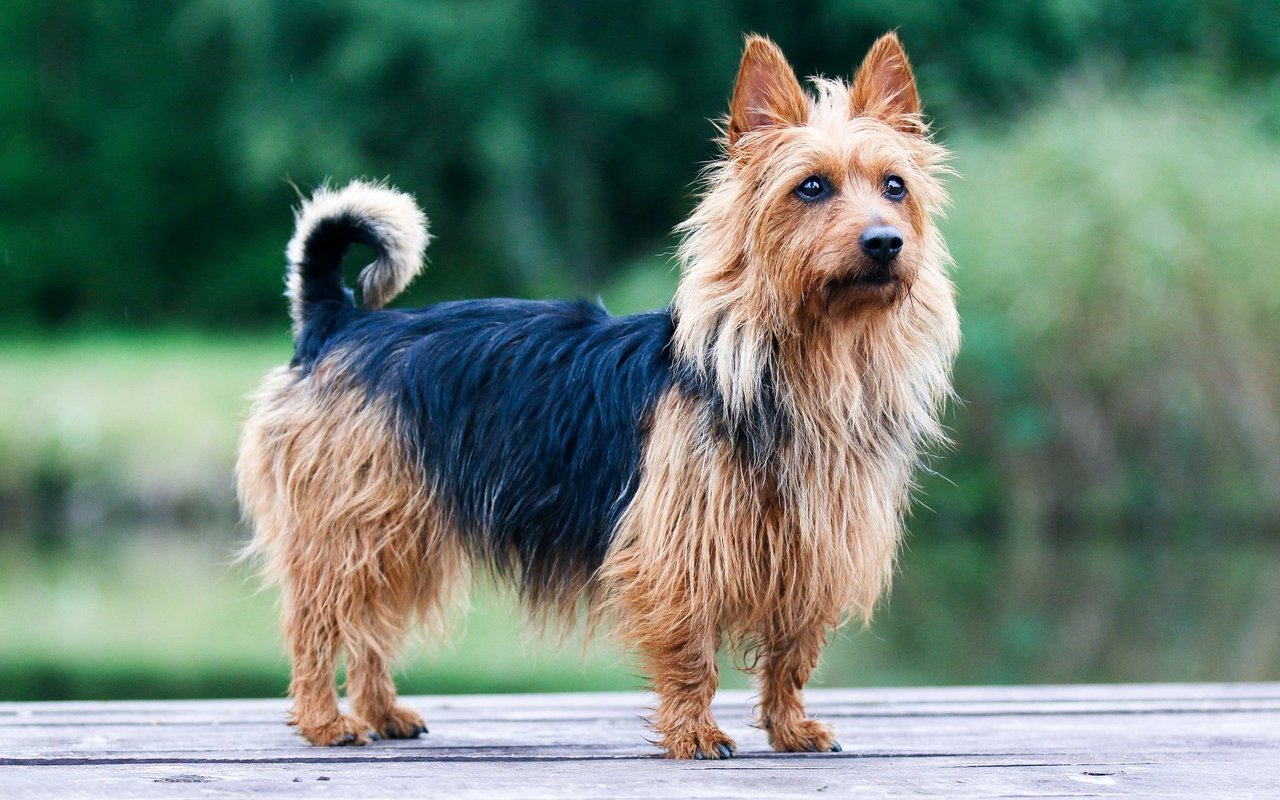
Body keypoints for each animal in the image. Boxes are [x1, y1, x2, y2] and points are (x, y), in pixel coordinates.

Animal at [240, 31, 962, 752]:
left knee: (370, 627)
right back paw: (325, 720)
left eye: (895, 187)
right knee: (317, 623)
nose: (886, 241)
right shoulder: (678, 551)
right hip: (350, 528)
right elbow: (691, 651)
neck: (808, 362)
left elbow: (792, 652)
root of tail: (338, 321)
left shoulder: (815, 550)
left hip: (399, 533)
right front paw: (695, 733)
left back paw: (381, 711)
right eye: (811, 187)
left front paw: (789, 727)